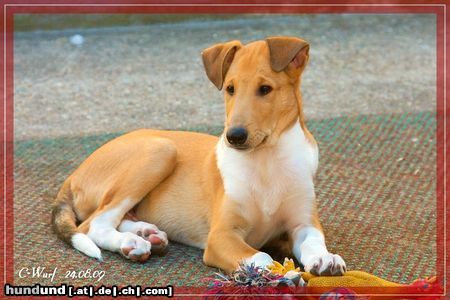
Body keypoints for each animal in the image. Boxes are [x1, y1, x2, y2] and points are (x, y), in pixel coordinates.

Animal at [53, 37, 348, 276]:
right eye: (230, 89)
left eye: (265, 89)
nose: (234, 136)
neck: (266, 160)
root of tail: (73, 175)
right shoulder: (221, 235)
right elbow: (261, 256)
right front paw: (275, 273)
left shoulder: (303, 222)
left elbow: (313, 241)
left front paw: (325, 258)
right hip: (160, 150)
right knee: (92, 225)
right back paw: (131, 242)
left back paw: (146, 233)